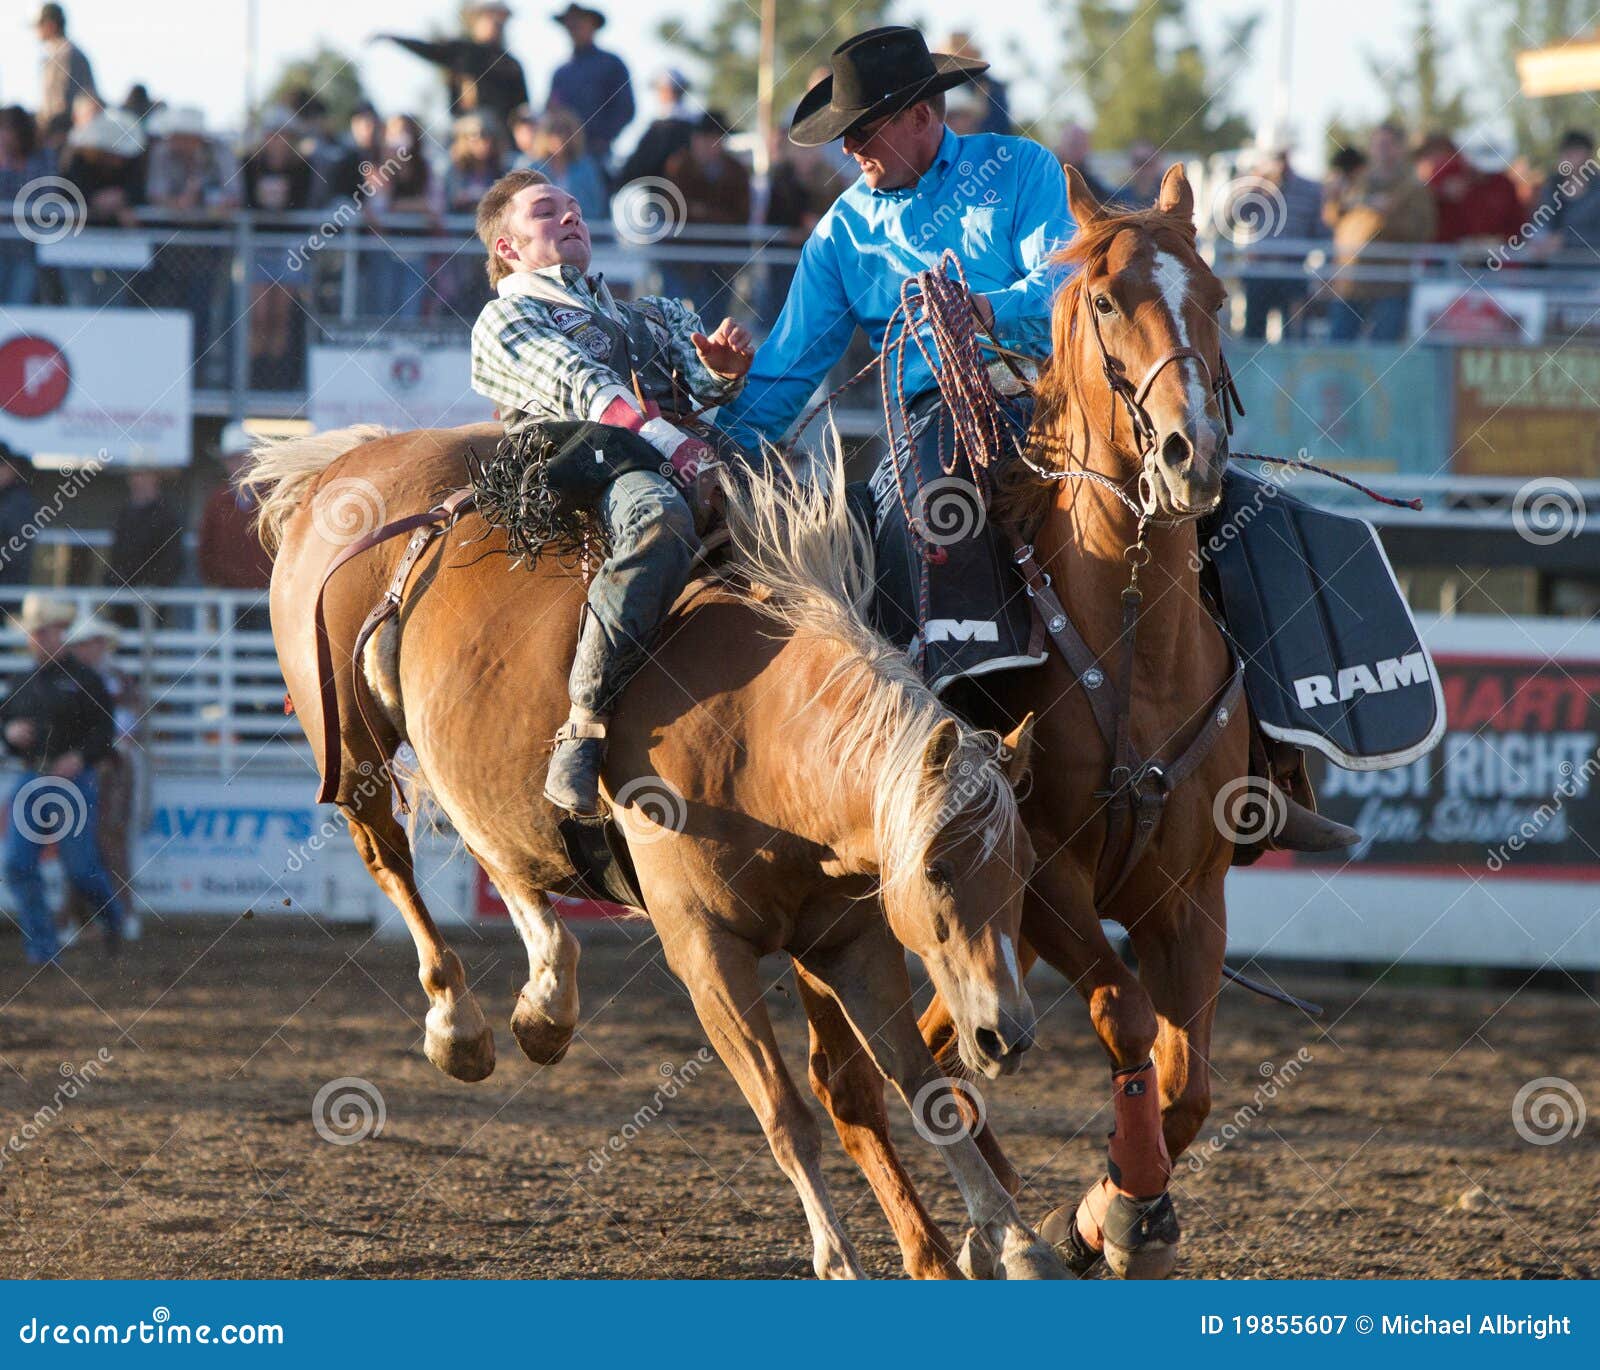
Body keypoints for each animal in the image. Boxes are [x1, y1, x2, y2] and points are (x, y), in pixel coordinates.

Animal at [247, 427, 1067, 1279]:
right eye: (936, 869)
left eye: (1023, 874)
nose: (1007, 1035)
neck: (762, 740)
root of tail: (350, 462)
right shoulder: (705, 948)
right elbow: (782, 1111)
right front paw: (838, 1257)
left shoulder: (854, 942)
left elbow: (929, 1093)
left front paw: (1017, 1241)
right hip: (352, 750)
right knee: (392, 862)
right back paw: (459, 1027)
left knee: (500, 853)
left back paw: (545, 1004)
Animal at [790, 163, 1254, 1279]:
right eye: (1105, 301)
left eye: (1217, 296)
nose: (1192, 455)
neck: (1132, 644)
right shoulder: (1044, 881)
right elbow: (1126, 1018)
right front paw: (1109, 1214)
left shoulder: (1192, 893)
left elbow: (1188, 1080)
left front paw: (1110, 1210)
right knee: (850, 1075)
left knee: (936, 1038)